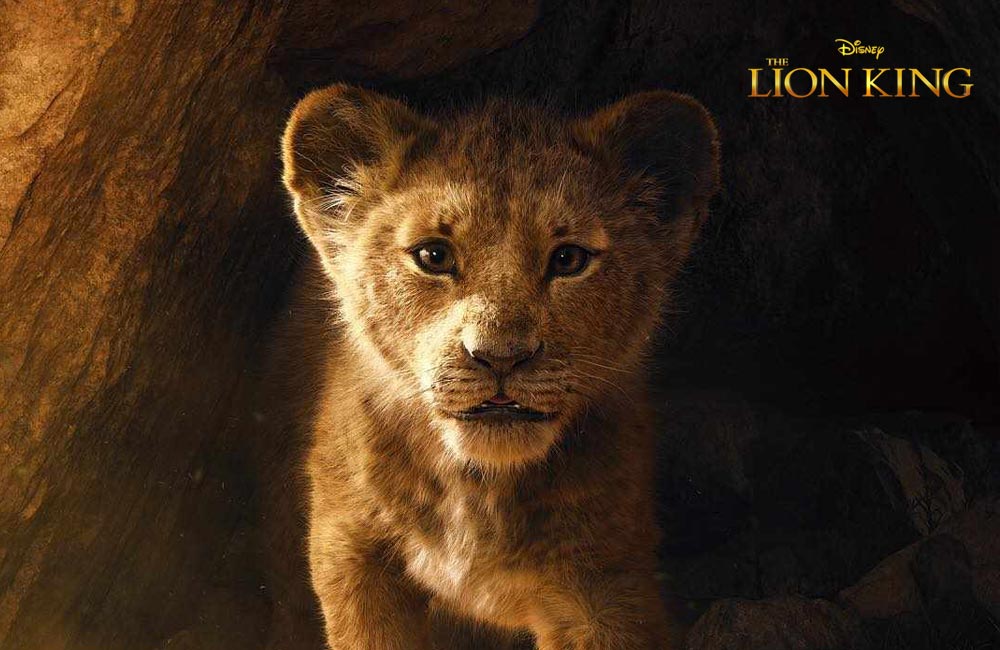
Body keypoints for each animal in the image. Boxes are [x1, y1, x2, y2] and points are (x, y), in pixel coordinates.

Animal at [272, 83, 719, 649]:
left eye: (569, 259)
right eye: (434, 256)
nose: (500, 355)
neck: (478, 490)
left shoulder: (606, 585)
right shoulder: (350, 553)